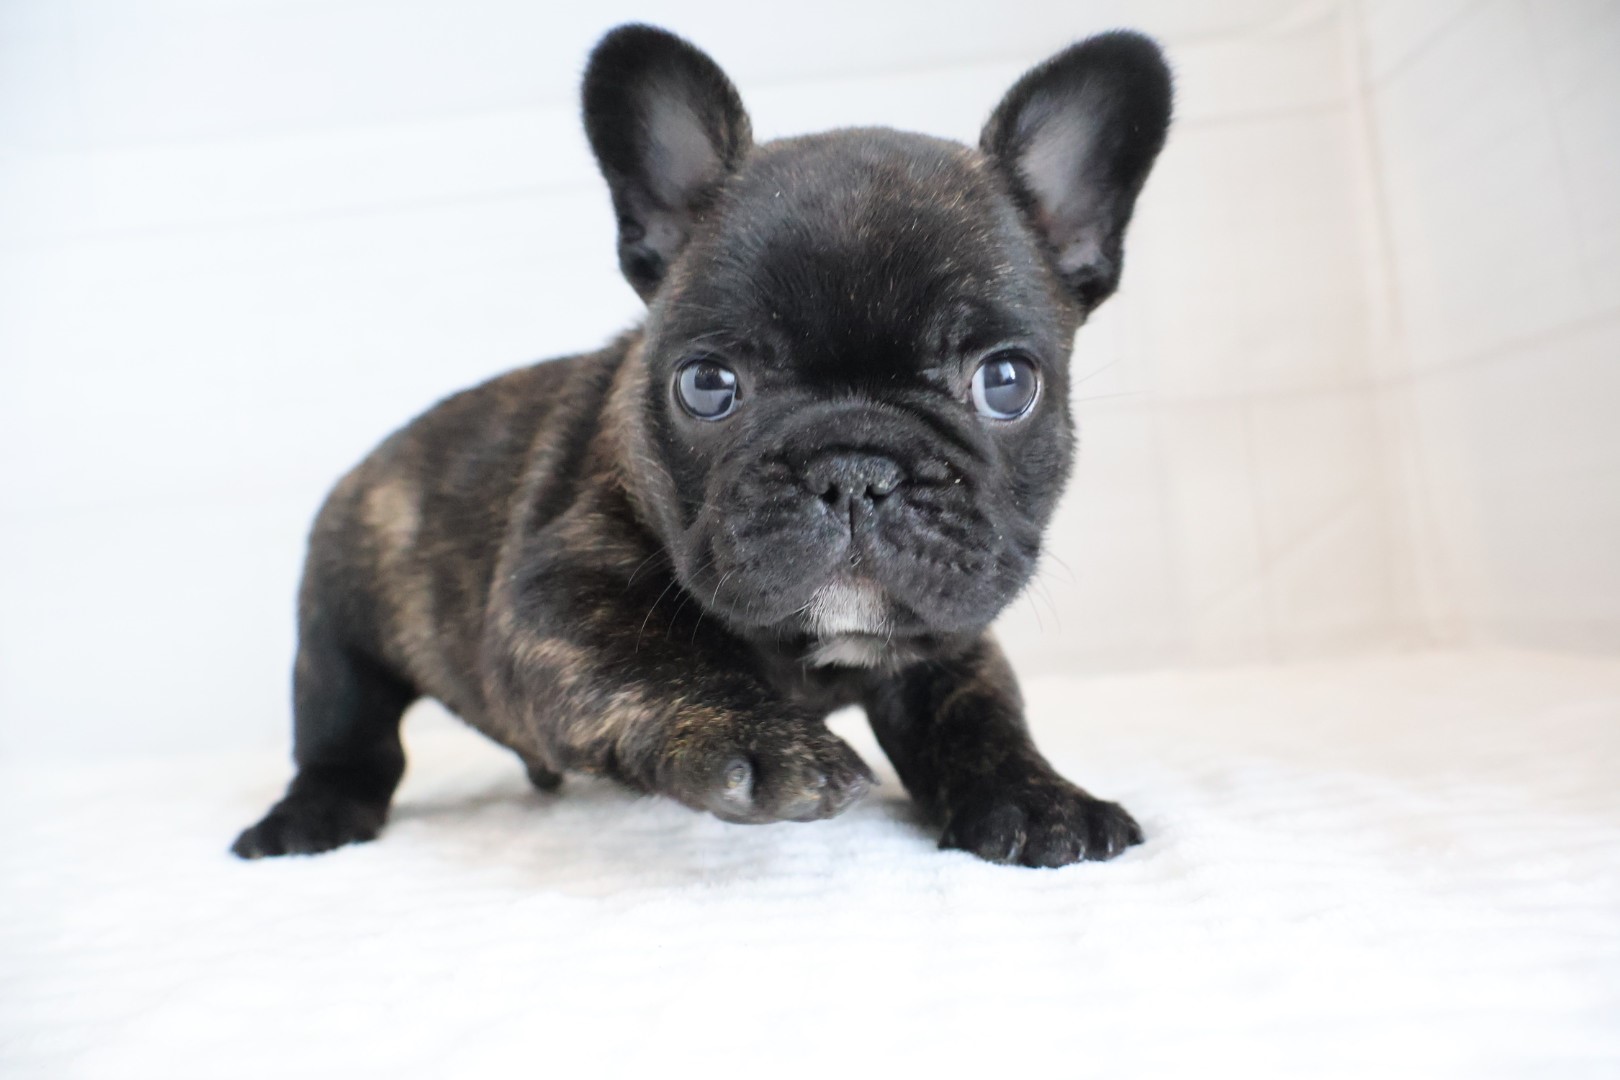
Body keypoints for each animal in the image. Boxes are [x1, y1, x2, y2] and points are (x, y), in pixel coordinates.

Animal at [232, 23, 1171, 867]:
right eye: (707, 384)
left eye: (1006, 382)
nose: (856, 469)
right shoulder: (553, 600)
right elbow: (651, 663)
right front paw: (760, 745)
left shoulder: (952, 632)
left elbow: (980, 714)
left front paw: (1037, 798)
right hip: (335, 634)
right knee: (347, 738)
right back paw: (309, 817)